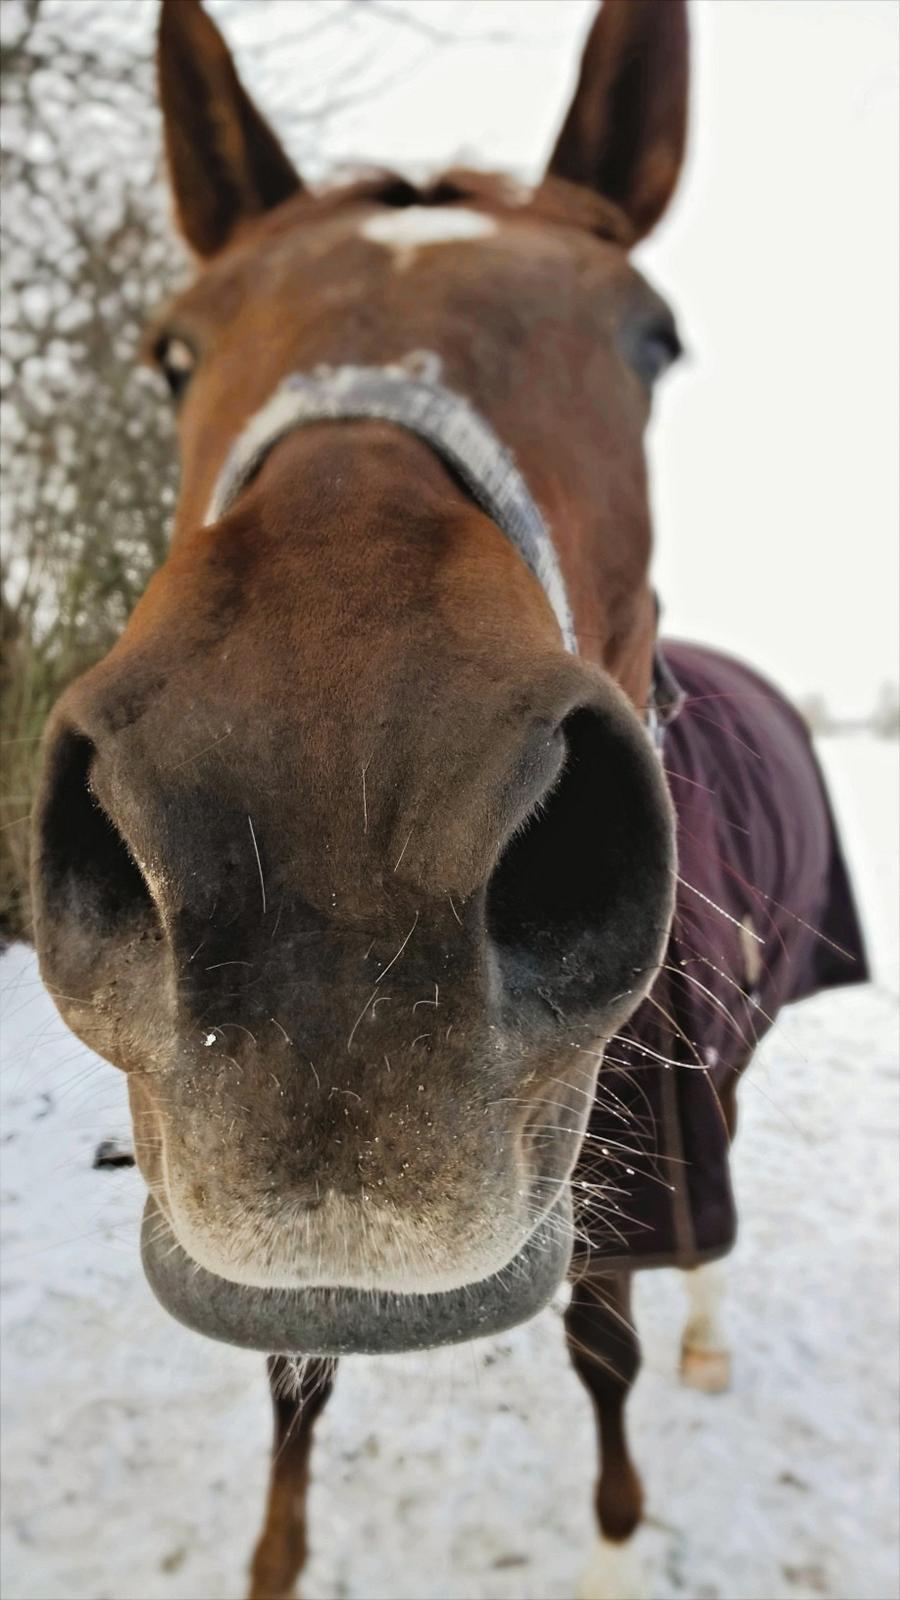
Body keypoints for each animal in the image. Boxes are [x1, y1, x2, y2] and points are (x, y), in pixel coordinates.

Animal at [29, 3, 864, 1600]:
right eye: (175, 351)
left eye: (651, 339)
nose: (332, 869)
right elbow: (292, 1377)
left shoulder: (628, 1167)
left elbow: (606, 1353)